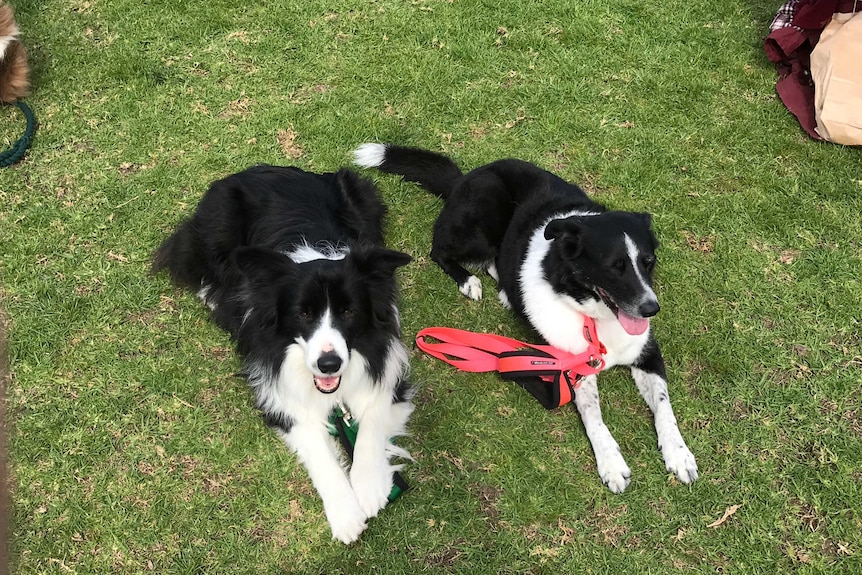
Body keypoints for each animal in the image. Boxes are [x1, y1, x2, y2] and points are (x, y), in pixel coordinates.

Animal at [154, 164, 416, 544]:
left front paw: (369, 486)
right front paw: (345, 514)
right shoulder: (279, 396)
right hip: (217, 231)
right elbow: (320, 452)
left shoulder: (390, 376)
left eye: (349, 312)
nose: (329, 364)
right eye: (303, 313)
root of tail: (254, 168)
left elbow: (371, 421)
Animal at [354, 145, 700, 496]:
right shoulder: (572, 370)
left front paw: (678, 453)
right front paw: (611, 462)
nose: (650, 308)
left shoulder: (647, 354)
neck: (592, 316)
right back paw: (470, 280)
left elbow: (664, 406)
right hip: (481, 218)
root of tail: (465, 177)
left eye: (648, 262)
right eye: (613, 267)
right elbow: (594, 416)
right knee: (440, 250)